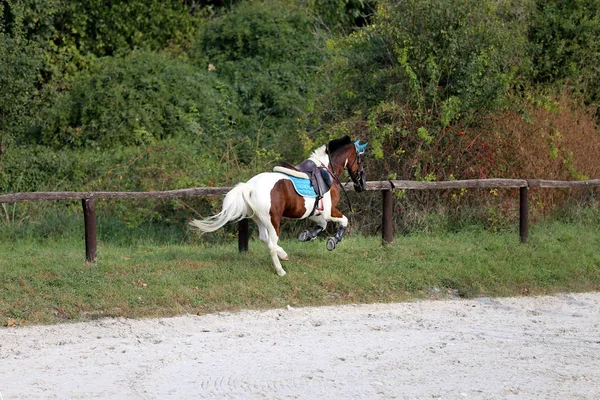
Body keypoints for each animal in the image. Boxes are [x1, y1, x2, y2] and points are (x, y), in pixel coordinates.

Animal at [190, 136, 368, 276]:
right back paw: (280, 270)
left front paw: (307, 235)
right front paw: (333, 241)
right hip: (273, 220)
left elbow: (322, 225)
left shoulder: (314, 213)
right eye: (360, 160)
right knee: (271, 243)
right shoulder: (329, 211)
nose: (362, 185)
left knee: (265, 239)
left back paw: (283, 254)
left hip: (260, 219)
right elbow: (344, 221)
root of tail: (249, 187)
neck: (328, 172)